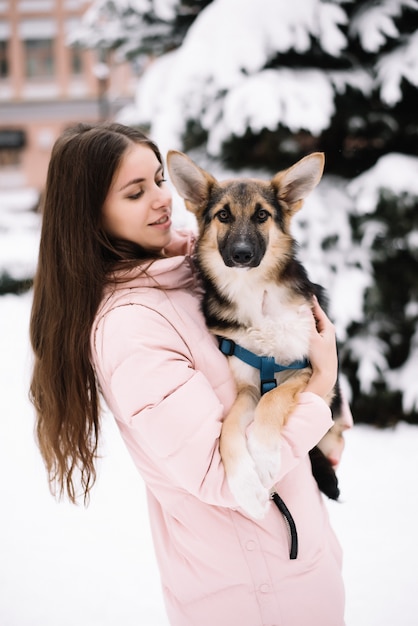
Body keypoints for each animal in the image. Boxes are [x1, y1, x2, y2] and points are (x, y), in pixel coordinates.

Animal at [168, 150, 344, 516]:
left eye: (262, 215)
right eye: (223, 215)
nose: (242, 254)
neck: (253, 292)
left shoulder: (308, 367)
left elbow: (274, 399)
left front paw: (263, 458)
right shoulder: (247, 385)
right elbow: (228, 431)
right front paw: (246, 487)